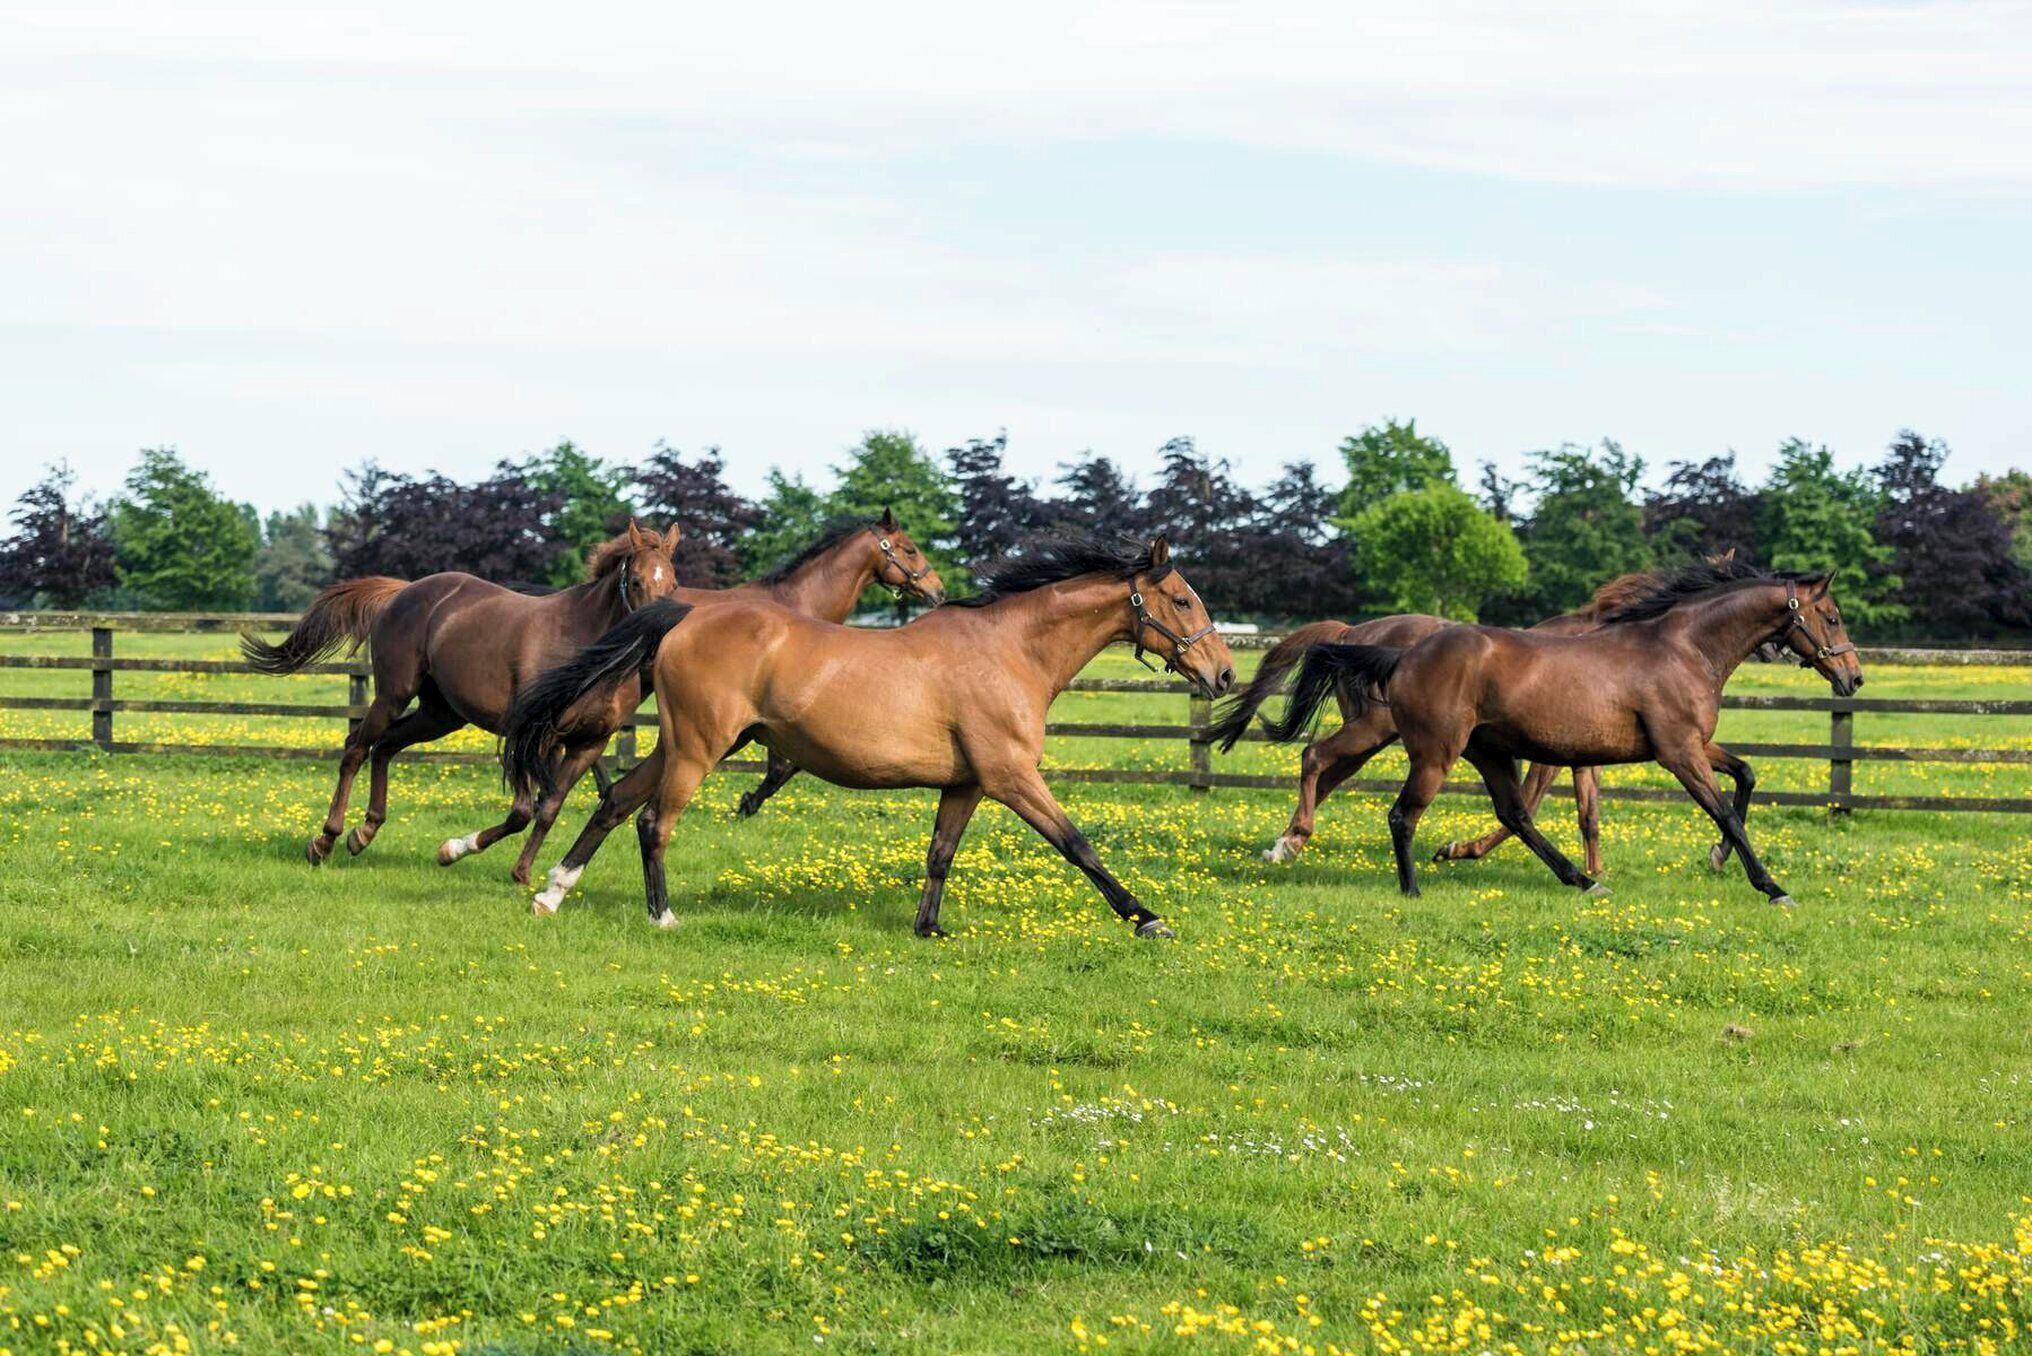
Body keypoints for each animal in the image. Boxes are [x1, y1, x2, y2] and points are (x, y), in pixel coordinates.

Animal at [242, 512, 944, 881]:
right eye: (908, 548)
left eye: (673, 577)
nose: (937, 590)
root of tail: (407, 589)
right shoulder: (539, 734)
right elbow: (529, 806)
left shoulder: (591, 737)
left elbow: (549, 806)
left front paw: (522, 873)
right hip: (396, 689)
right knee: (356, 744)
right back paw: (327, 838)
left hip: (441, 712)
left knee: (386, 747)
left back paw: (366, 833)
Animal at [500, 532, 1236, 937]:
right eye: (1181, 599)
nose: (1223, 671)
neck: (1008, 650)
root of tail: (683, 615)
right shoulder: (1011, 777)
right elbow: (1078, 844)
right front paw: (1148, 918)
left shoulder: (967, 784)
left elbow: (940, 855)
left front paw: (929, 927)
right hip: (700, 748)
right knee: (654, 821)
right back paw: (662, 916)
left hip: (685, 744)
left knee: (617, 798)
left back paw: (552, 892)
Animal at [1246, 559, 1860, 905]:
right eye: (1831, 616)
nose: (1853, 677)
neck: (1682, 647)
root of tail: (1400, 653)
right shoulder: (1677, 752)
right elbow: (1726, 811)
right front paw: (1772, 888)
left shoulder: (1691, 744)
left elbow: (1747, 775)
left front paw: (1716, 858)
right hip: (1433, 752)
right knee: (1393, 809)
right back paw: (1408, 885)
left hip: (1486, 753)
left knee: (1514, 814)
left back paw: (1583, 881)